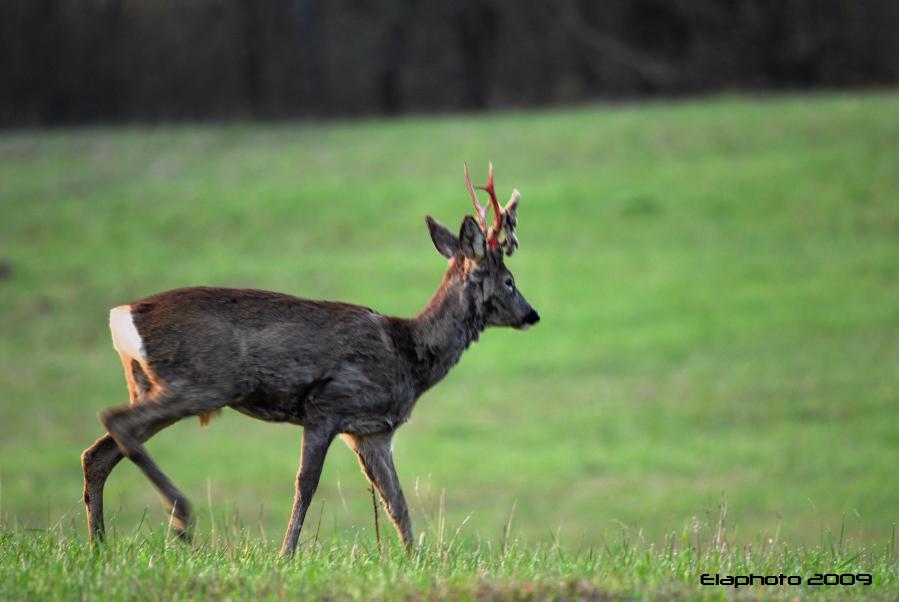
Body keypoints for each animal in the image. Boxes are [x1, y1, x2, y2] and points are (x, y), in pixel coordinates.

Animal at [81, 163, 536, 552]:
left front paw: (415, 559)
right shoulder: (327, 405)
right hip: (201, 381)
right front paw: (286, 554)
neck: (409, 354)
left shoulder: (373, 431)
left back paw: (101, 544)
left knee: (98, 453)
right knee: (114, 421)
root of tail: (123, 316)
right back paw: (180, 518)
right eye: (510, 281)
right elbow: (307, 484)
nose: (532, 314)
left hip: (152, 384)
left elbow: (397, 502)